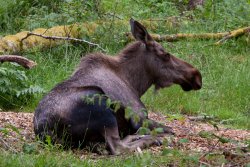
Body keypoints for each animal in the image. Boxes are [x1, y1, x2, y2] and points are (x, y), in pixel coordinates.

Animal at [33, 18, 202, 154]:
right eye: (166, 54)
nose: (197, 75)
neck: (135, 84)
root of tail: (44, 131)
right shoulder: (139, 117)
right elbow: (170, 129)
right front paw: (161, 135)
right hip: (100, 103)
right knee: (118, 147)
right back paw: (153, 138)